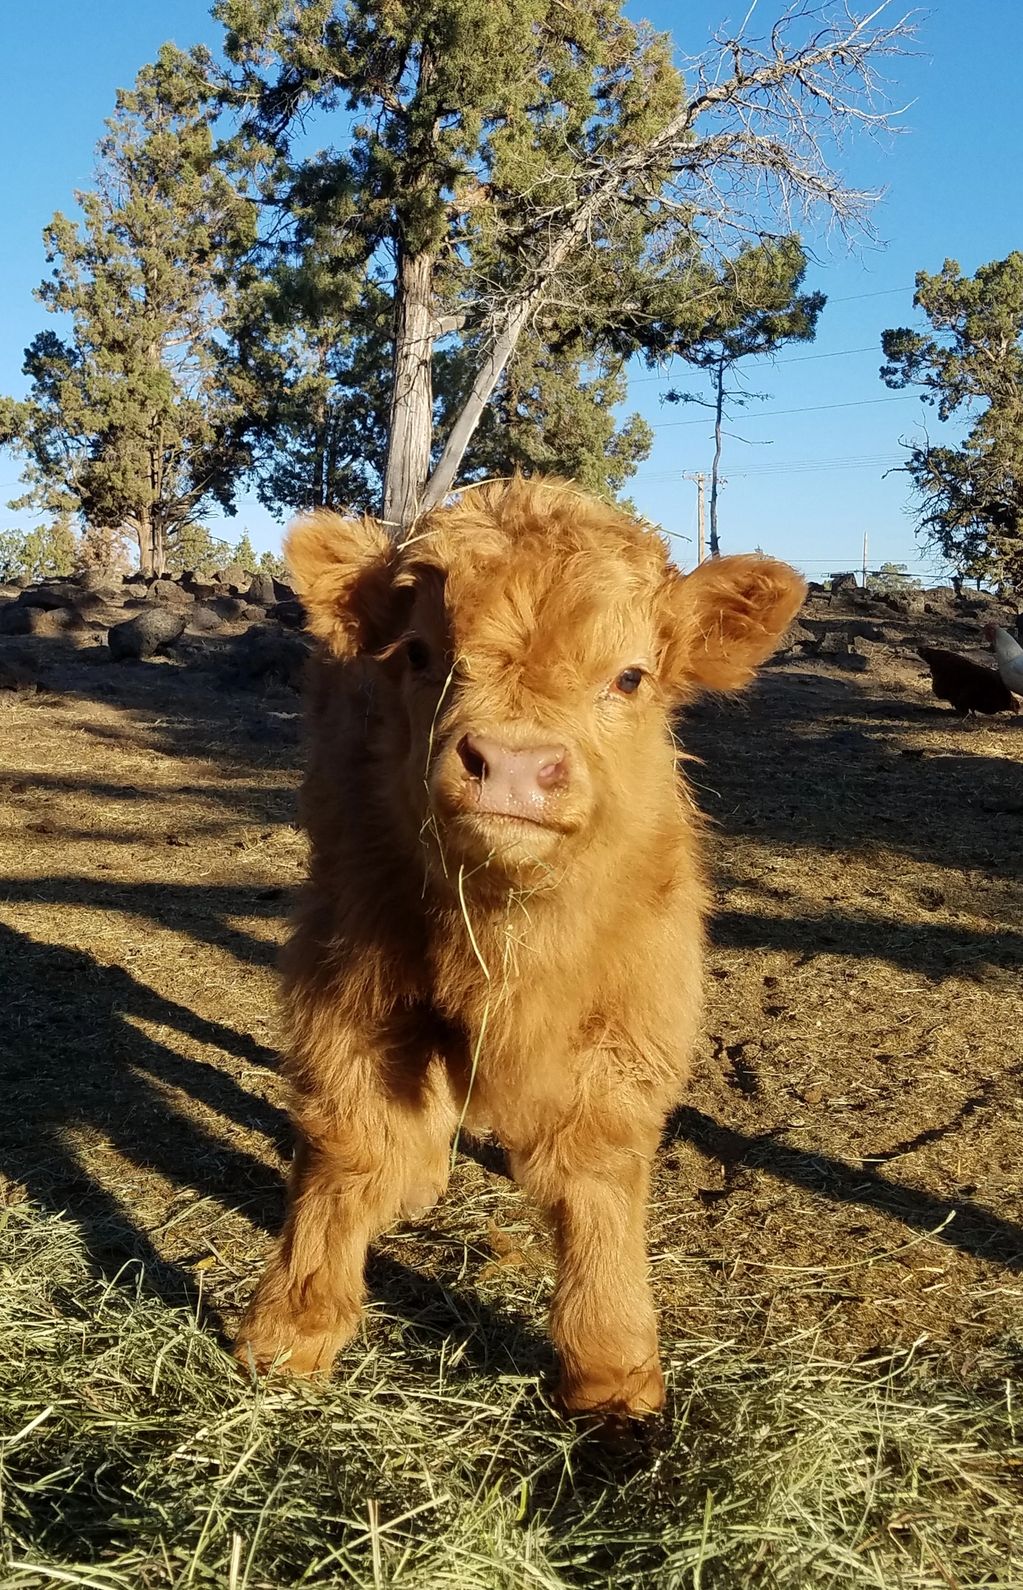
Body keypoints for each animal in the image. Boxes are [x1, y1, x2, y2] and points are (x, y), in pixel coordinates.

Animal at [234, 476, 805, 1417]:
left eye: (629, 676)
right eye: (421, 654)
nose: (508, 764)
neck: (507, 949)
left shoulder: (630, 1012)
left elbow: (596, 1171)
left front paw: (612, 1369)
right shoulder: (349, 980)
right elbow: (351, 1140)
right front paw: (292, 1327)